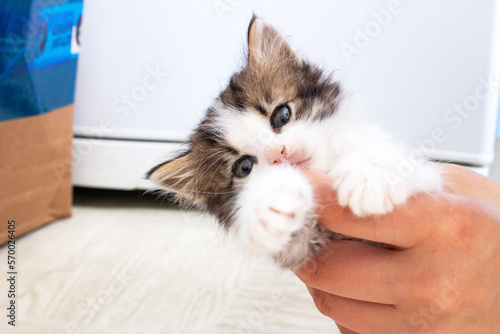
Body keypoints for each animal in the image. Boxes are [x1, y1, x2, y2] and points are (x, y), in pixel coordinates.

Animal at [146, 17, 442, 268]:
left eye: (282, 115)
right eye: (244, 167)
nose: (279, 152)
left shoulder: (425, 177)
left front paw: (369, 178)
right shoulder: (305, 248)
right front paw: (269, 205)